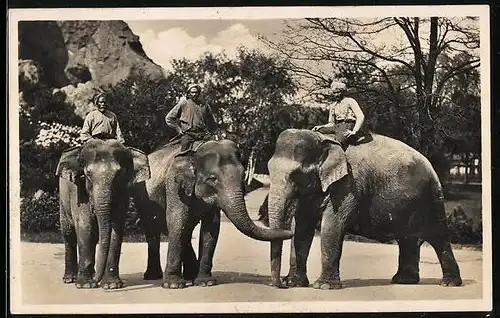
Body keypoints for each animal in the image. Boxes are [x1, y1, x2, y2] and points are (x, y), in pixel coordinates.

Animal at [56, 139, 150, 288]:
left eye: (119, 175)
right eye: (87, 175)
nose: (96, 282)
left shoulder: (123, 192)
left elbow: (116, 229)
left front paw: (112, 285)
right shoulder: (79, 191)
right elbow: (85, 227)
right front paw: (85, 285)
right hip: (63, 199)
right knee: (68, 234)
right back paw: (70, 279)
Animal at [133, 138, 294, 290]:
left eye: (243, 175)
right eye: (212, 179)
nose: (291, 232)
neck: (195, 152)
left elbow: (211, 228)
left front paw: (206, 282)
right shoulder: (174, 185)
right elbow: (177, 221)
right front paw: (173, 285)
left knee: (186, 230)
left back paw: (190, 274)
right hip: (143, 197)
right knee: (154, 230)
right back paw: (154, 276)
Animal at [264, 129, 462, 290]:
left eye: (296, 174)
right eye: (268, 169)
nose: (281, 284)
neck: (324, 140)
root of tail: (432, 168)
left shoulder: (349, 184)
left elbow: (332, 226)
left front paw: (324, 286)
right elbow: (302, 229)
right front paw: (295, 283)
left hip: (432, 199)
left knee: (438, 237)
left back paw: (449, 283)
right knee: (408, 239)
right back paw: (404, 281)